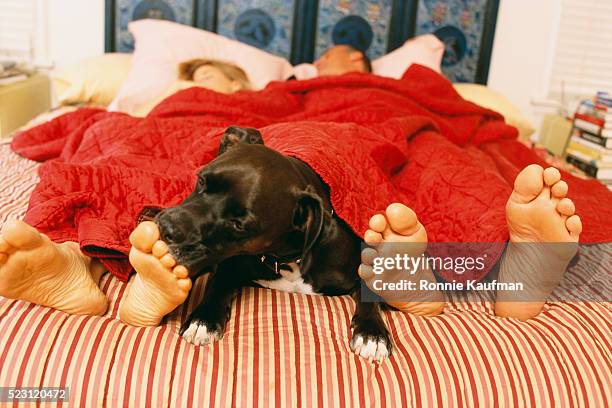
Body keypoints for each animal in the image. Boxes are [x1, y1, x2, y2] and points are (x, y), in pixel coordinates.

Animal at [155, 126, 390, 362]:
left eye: (238, 224)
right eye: (202, 181)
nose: (166, 228)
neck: (288, 259)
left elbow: (370, 291)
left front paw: (372, 334)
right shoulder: (229, 265)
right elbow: (217, 283)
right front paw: (203, 318)